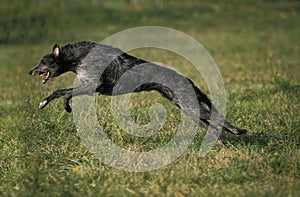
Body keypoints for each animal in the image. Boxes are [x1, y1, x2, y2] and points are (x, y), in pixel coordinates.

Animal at [29, 40, 247, 138]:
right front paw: (44, 102)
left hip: (191, 107)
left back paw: (237, 130)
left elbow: (65, 92)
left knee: (218, 117)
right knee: (213, 125)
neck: (79, 56)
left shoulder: (92, 85)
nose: (30, 71)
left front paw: (66, 106)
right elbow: (59, 91)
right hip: (188, 109)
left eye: (43, 61)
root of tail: (187, 79)